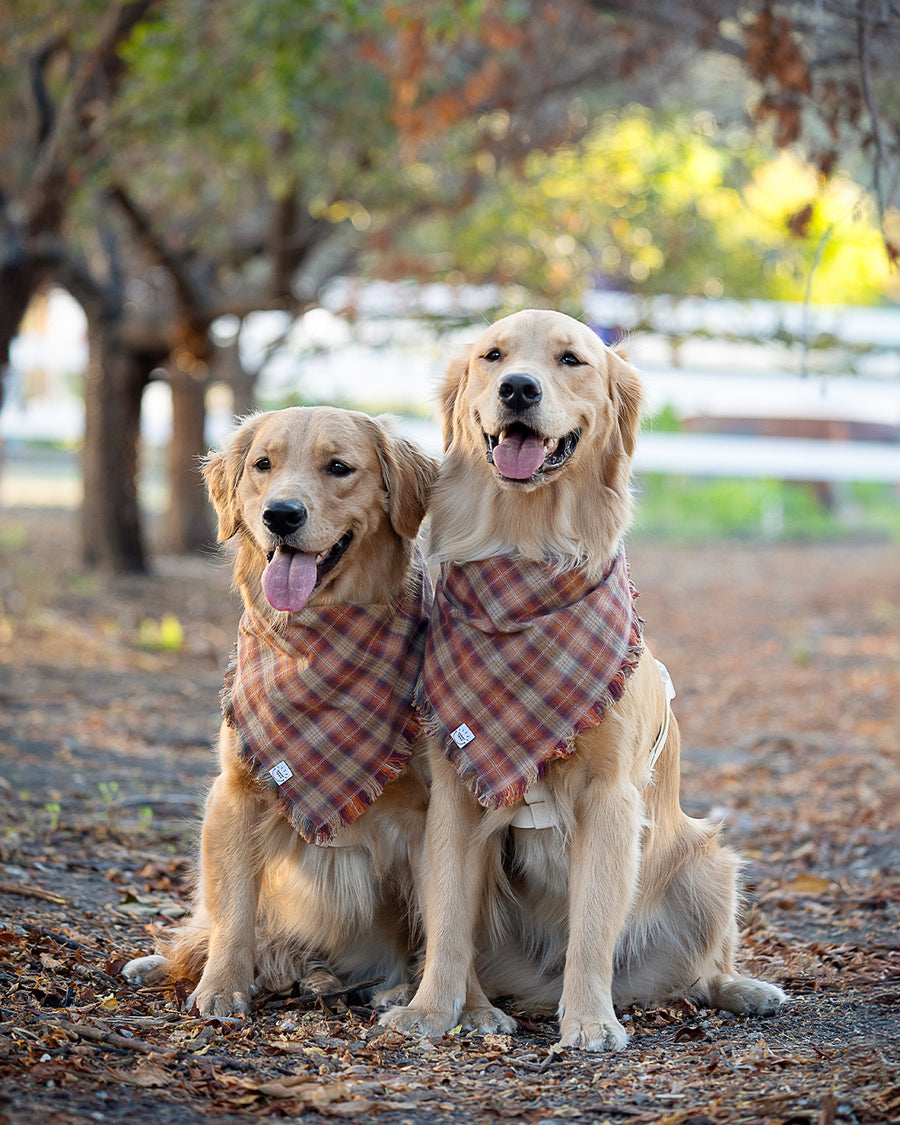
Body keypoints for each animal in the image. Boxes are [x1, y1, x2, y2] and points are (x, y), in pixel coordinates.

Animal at [123, 407, 438, 1021]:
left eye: (338, 467)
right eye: (262, 465)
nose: (281, 515)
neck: (315, 638)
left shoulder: (427, 814)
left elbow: (442, 918)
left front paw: (419, 997)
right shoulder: (237, 792)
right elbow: (234, 913)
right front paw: (222, 987)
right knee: (211, 929)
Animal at [382, 310, 787, 1053]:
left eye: (571, 359)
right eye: (492, 356)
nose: (517, 388)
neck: (527, 553)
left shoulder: (611, 798)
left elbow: (594, 925)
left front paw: (591, 1021)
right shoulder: (455, 792)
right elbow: (449, 913)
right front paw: (429, 1011)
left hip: (708, 860)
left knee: (700, 972)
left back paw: (741, 989)